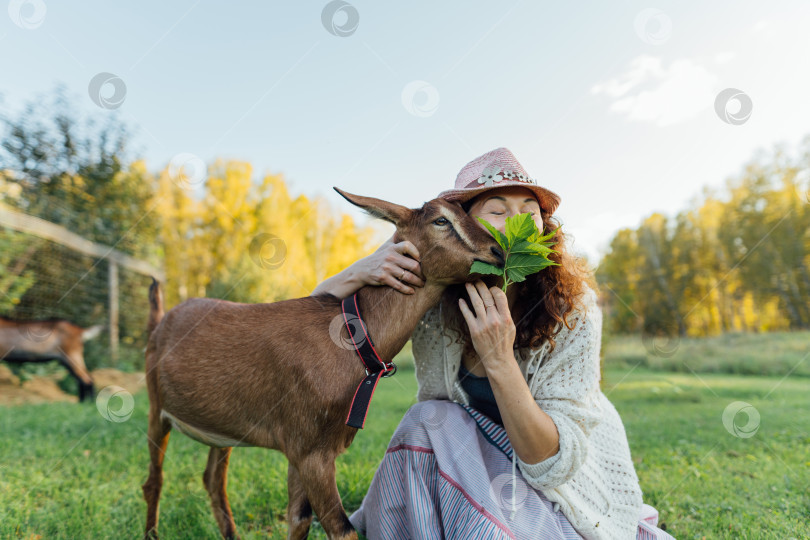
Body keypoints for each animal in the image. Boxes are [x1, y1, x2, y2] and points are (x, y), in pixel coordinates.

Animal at [142, 188, 502, 536]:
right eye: (441, 220)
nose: (497, 251)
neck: (349, 338)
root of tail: (160, 321)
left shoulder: (301, 450)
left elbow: (298, 519)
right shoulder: (311, 451)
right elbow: (341, 529)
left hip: (223, 425)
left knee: (213, 480)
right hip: (156, 408)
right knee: (154, 481)